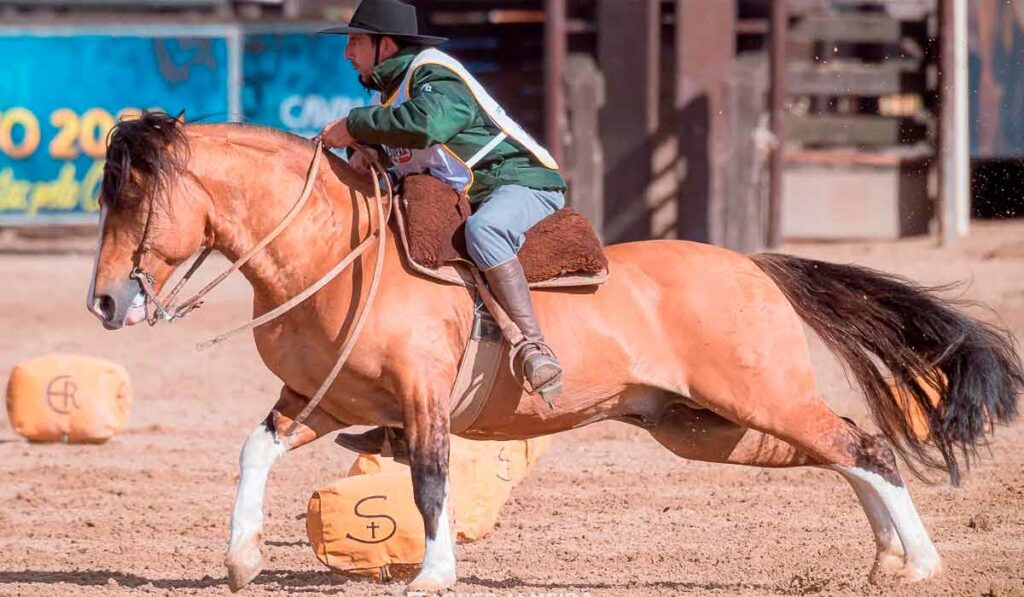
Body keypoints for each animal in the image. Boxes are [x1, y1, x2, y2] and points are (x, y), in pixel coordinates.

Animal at [90, 112, 1024, 593]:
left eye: (132, 198)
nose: (104, 301)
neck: (338, 251)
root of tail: (753, 264)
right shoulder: (319, 401)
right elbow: (254, 451)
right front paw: (242, 557)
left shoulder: (421, 398)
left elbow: (430, 479)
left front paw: (434, 573)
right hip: (710, 425)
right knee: (847, 451)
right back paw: (888, 558)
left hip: (755, 400)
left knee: (864, 446)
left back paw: (922, 560)